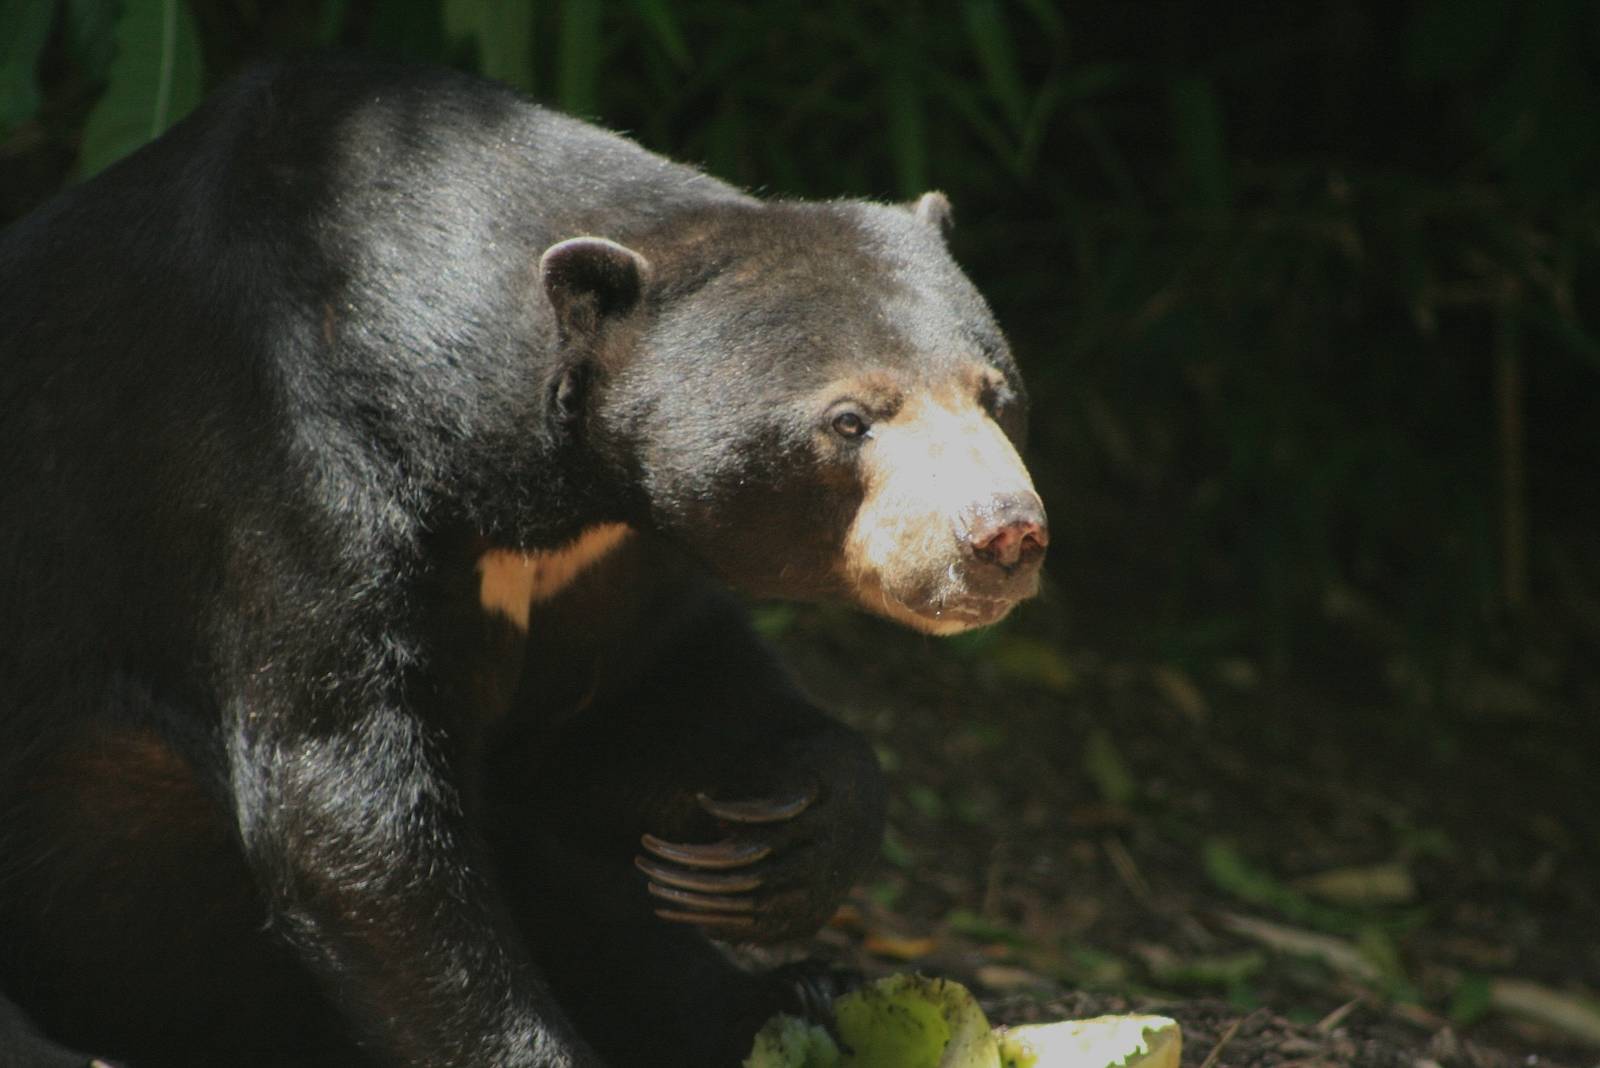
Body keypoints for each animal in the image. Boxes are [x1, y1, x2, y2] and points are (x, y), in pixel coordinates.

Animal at [0, 58, 1047, 1068]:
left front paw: (785, 839)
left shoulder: (613, 555)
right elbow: (344, 797)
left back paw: (804, 994)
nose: (1003, 535)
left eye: (997, 393)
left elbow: (644, 693)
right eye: (849, 421)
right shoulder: (282, 471)